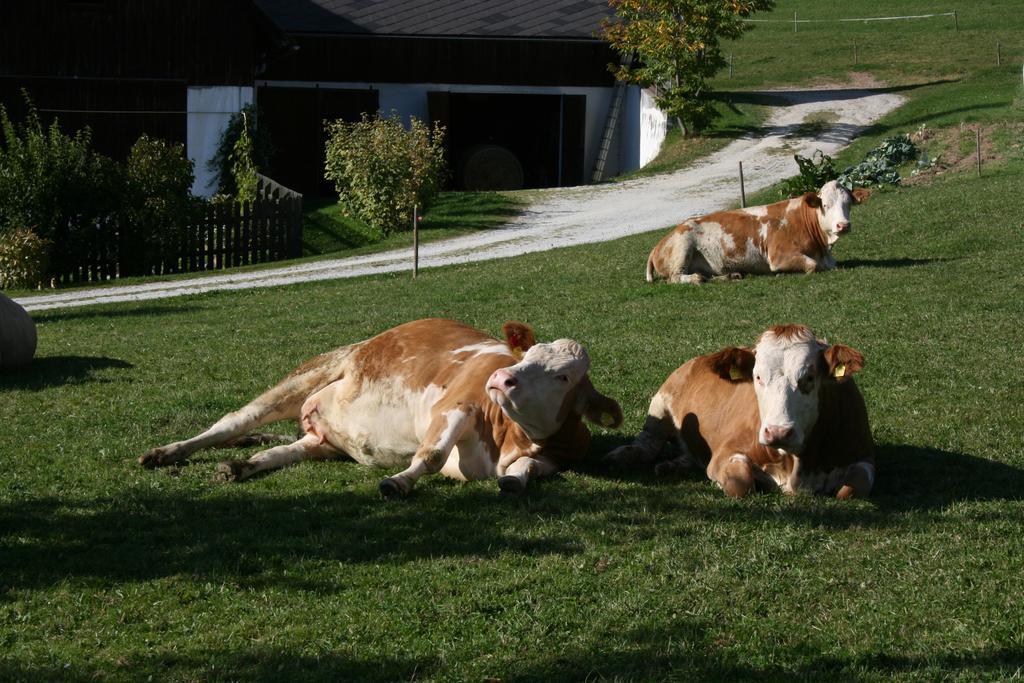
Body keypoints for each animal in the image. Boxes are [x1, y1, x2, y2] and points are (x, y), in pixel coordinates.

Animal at [139, 317, 622, 493]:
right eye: (527, 355)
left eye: (563, 376)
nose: (502, 378)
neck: (510, 439)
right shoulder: (456, 403)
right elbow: (432, 455)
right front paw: (399, 481)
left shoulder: (555, 455)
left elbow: (527, 472)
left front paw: (514, 480)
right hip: (308, 375)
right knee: (231, 423)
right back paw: (166, 453)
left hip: (322, 439)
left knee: (283, 451)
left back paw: (240, 467)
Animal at [602, 323, 876, 499]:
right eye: (757, 377)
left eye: (809, 378)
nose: (777, 432)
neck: (797, 466)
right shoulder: (724, 454)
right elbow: (741, 484)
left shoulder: (864, 456)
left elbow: (851, 488)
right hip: (660, 404)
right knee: (648, 444)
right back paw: (624, 455)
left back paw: (672, 465)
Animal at [643, 180, 868, 284]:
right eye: (826, 205)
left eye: (848, 204)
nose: (843, 225)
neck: (822, 247)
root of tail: (657, 245)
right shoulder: (778, 256)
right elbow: (812, 265)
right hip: (682, 246)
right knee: (676, 277)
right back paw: (699, 278)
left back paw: (730, 275)